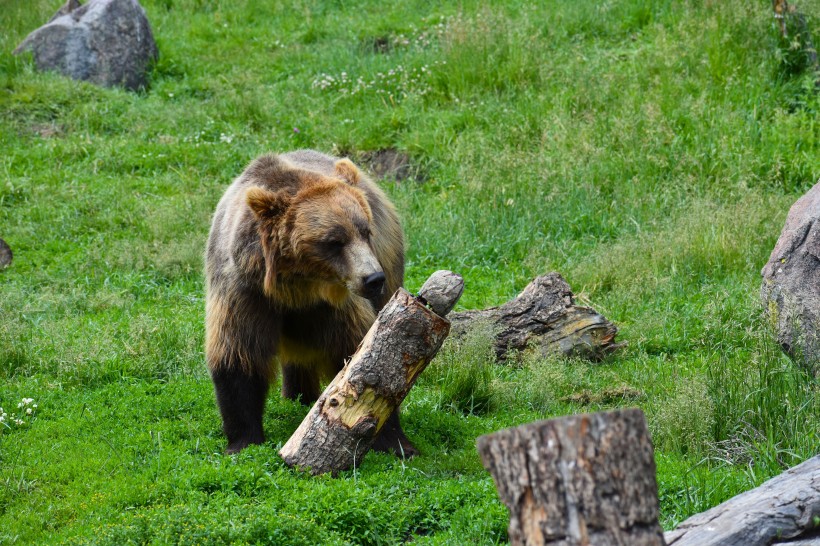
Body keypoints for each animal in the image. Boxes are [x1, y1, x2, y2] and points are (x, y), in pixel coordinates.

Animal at [205, 149, 416, 454]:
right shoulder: (244, 291)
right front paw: (242, 440)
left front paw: (393, 440)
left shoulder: (337, 306)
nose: (373, 278)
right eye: (335, 241)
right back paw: (298, 395)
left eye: (365, 231)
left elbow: (359, 353)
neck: (297, 288)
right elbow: (238, 353)